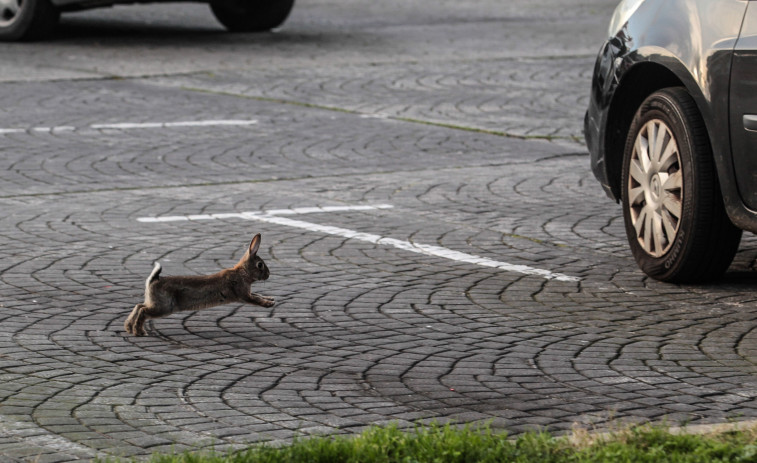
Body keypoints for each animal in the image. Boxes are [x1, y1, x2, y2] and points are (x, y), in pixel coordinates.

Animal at [124, 234, 274, 336]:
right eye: (260, 265)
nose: (268, 274)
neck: (242, 272)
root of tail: (153, 280)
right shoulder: (243, 294)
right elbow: (255, 299)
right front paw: (269, 304)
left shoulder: (247, 292)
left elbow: (258, 295)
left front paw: (271, 299)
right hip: (164, 307)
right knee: (143, 311)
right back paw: (139, 332)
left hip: (155, 303)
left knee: (139, 306)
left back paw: (128, 328)